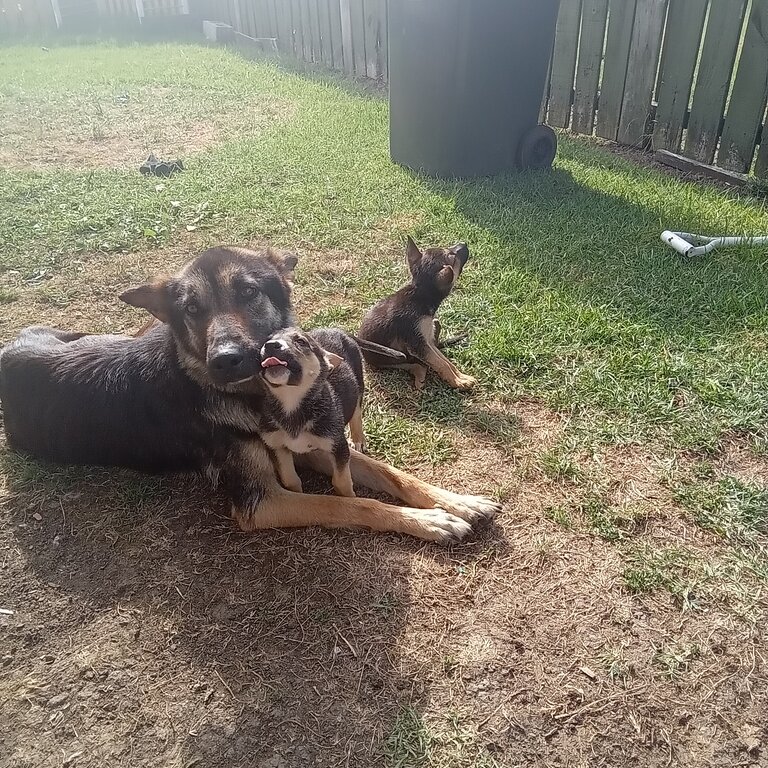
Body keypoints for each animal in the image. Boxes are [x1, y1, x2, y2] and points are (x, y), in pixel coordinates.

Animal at [258, 326, 366, 498]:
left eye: (301, 342)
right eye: (266, 341)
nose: (270, 345)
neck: (291, 401)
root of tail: (335, 329)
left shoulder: (338, 446)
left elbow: (341, 482)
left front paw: (351, 499)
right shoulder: (277, 446)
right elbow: (290, 480)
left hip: (359, 382)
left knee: (356, 412)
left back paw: (358, 439)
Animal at [358, 234, 476, 390]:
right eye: (451, 256)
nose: (464, 243)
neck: (419, 295)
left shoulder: (427, 340)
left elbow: (445, 361)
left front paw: (460, 376)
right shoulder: (417, 344)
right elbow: (441, 364)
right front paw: (457, 381)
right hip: (388, 356)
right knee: (409, 364)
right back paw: (419, 372)